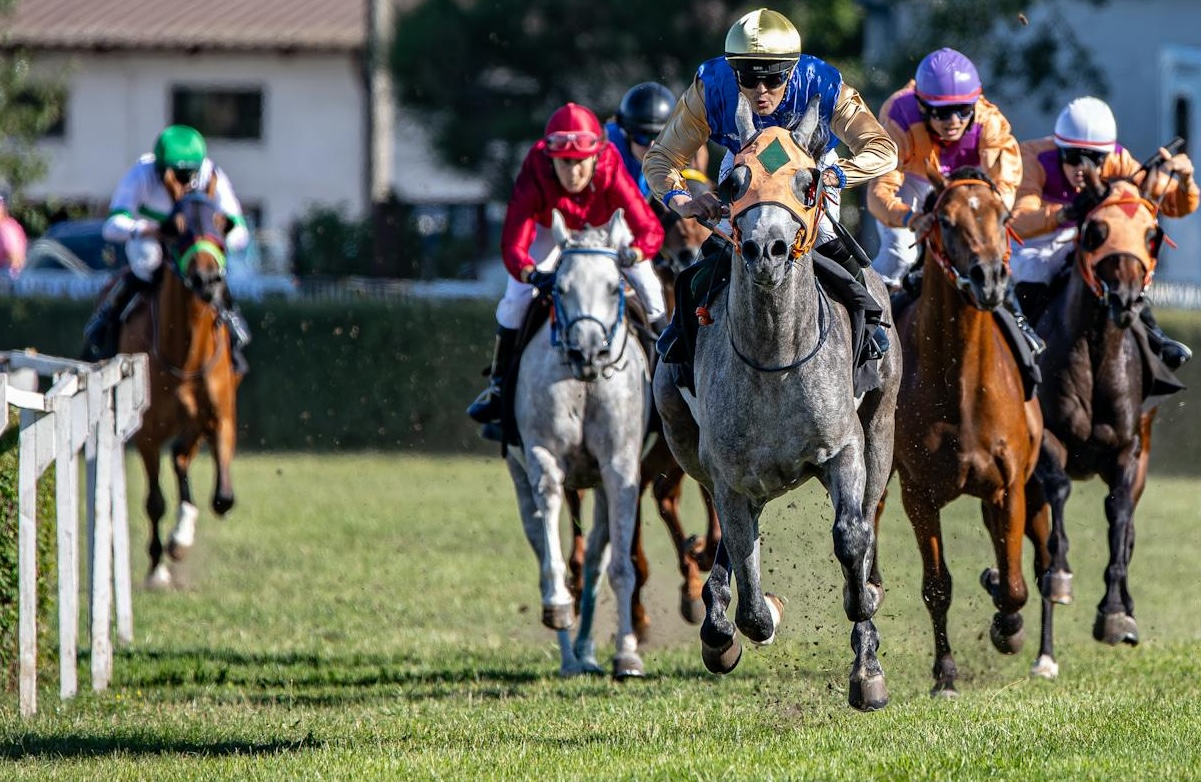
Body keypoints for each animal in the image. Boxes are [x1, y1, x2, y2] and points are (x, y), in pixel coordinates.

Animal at [118, 182, 241, 589]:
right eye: (175, 226)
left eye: (223, 223)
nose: (207, 279)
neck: (185, 353)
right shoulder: (147, 432)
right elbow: (154, 501)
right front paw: (157, 567)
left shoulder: (219, 417)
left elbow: (222, 497)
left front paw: (180, 539)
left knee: (183, 459)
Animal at [506, 208, 650, 679]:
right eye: (561, 288)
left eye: (612, 286)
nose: (588, 352)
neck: (585, 383)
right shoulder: (541, 455)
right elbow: (550, 538)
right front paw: (557, 607)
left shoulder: (620, 468)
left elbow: (620, 567)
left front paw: (627, 654)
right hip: (520, 476)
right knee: (544, 544)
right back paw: (571, 654)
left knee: (595, 562)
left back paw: (587, 652)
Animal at [653, 95, 902, 711]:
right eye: (732, 181)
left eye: (808, 183)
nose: (766, 250)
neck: (775, 356)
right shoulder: (729, 472)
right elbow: (747, 589)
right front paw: (751, 615)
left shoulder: (843, 448)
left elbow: (852, 537)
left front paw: (866, 658)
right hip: (683, 433)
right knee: (732, 538)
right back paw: (718, 624)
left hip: (882, 427)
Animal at [875, 166, 1046, 696]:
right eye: (946, 221)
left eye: (1003, 217)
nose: (988, 278)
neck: (962, 385)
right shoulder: (918, 493)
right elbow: (937, 586)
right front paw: (946, 674)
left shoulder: (1009, 488)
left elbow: (1014, 585)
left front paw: (1008, 628)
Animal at [1029, 162, 1177, 677]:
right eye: (1096, 231)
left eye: (1152, 233)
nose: (1127, 301)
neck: (1096, 353)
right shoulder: (1046, 442)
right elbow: (1058, 497)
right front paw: (1060, 577)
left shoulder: (1129, 450)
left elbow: (1119, 519)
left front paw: (1115, 614)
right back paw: (1044, 653)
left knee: (1128, 531)